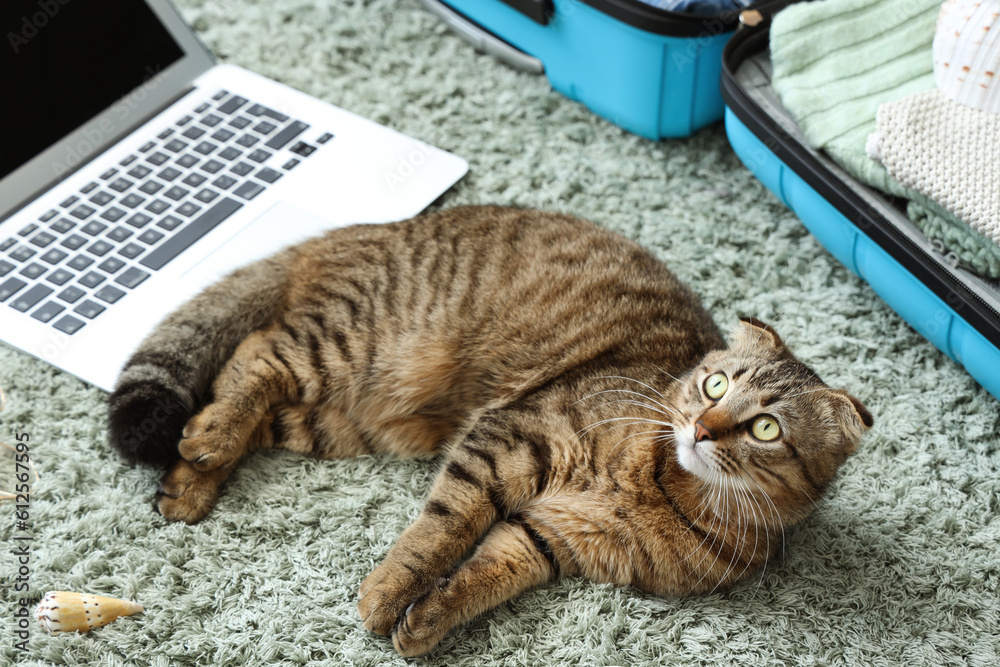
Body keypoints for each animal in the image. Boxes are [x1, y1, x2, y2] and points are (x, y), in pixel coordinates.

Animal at [107, 205, 868, 656]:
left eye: (765, 427)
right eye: (714, 385)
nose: (703, 429)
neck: (663, 487)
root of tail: (366, 230)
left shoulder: (554, 538)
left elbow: (482, 573)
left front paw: (427, 620)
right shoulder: (506, 440)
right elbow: (438, 532)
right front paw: (389, 594)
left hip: (338, 417)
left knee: (250, 389)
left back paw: (189, 480)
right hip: (352, 347)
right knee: (255, 353)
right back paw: (206, 442)